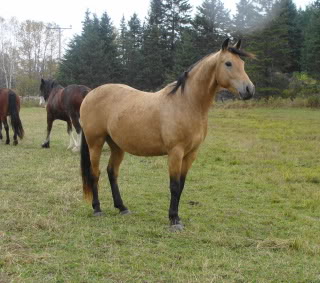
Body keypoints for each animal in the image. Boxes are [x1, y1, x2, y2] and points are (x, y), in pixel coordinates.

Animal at [80, 38, 255, 232]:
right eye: (228, 63)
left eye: (243, 63)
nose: (249, 89)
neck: (187, 103)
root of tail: (90, 94)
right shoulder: (175, 152)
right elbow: (174, 185)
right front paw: (174, 219)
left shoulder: (191, 154)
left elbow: (182, 185)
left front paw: (177, 217)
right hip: (95, 143)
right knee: (95, 173)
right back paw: (97, 209)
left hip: (117, 145)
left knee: (112, 172)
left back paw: (122, 208)